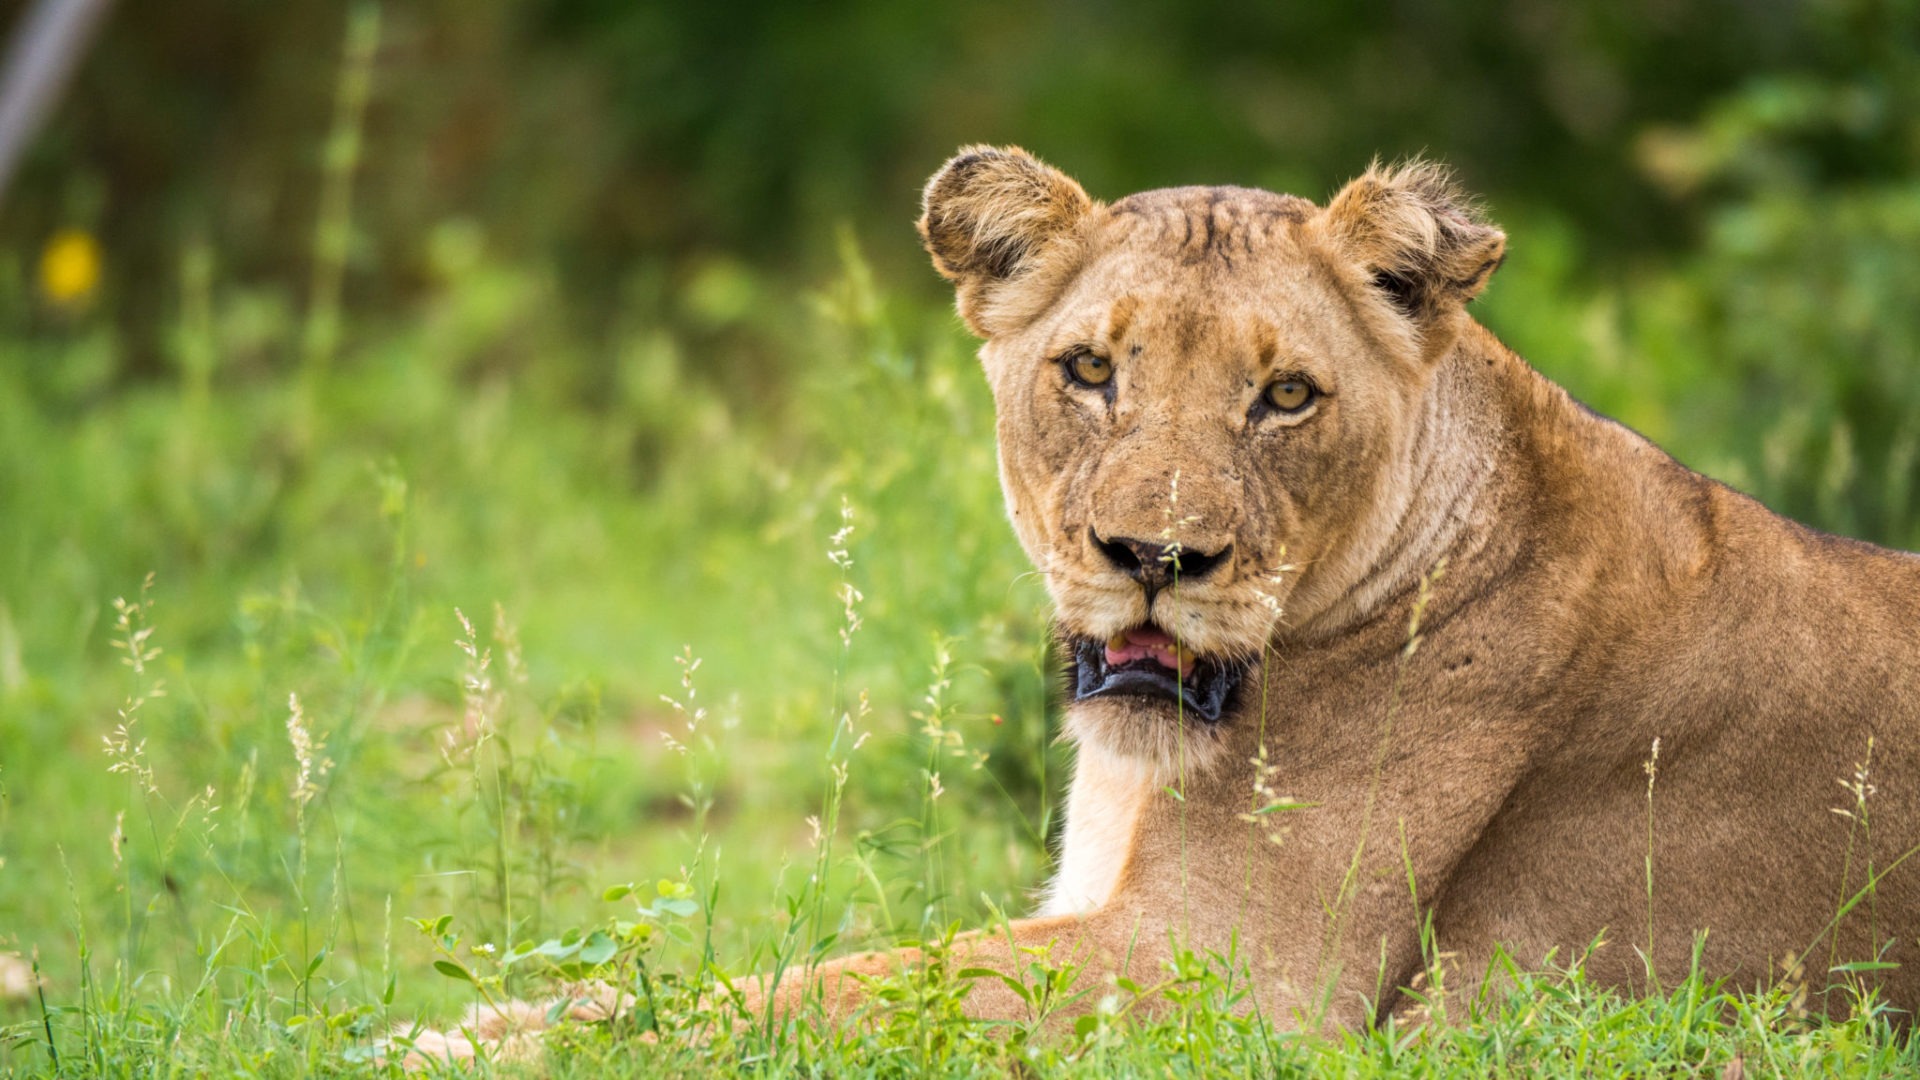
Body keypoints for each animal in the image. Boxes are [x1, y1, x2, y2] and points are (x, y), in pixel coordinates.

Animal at [406, 148, 1920, 1060]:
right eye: (1090, 370)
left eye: (1287, 394)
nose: (1155, 555)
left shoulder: (1232, 975)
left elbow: (831, 990)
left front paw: (472, 1042)